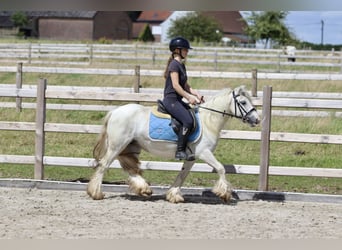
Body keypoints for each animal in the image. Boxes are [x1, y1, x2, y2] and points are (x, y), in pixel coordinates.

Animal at [86, 85, 260, 203]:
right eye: (243, 102)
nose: (257, 119)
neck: (208, 120)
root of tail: (114, 111)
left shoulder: (192, 157)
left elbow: (182, 175)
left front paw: (174, 195)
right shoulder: (204, 153)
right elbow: (221, 168)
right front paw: (224, 193)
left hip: (129, 146)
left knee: (129, 167)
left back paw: (144, 189)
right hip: (117, 146)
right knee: (103, 165)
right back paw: (96, 193)